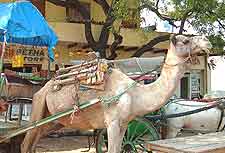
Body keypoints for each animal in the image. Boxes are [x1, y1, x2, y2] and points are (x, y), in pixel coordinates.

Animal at [20, 35, 211, 153]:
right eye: (185, 40)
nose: (207, 41)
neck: (135, 93)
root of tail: (43, 88)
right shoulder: (111, 122)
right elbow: (111, 149)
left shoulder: (124, 123)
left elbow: (119, 148)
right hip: (38, 106)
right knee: (26, 142)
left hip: (54, 120)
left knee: (35, 140)